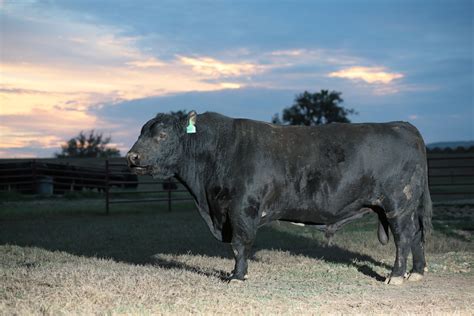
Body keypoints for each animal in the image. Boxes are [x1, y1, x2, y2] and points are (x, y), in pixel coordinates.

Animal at [128, 112, 432, 286]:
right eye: (141, 132)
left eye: (162, 135)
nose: (132, 157)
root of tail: (403, 126)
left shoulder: (241, 208)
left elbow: (240, 244)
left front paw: (237, 276)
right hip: (404, 206)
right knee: (416, 235)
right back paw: (417, 272)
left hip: (397, 204)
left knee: (404, 237)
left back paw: (396, 276)